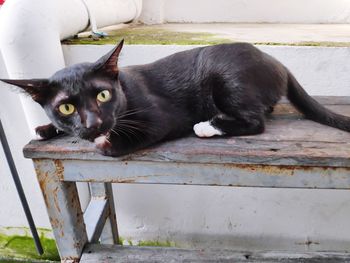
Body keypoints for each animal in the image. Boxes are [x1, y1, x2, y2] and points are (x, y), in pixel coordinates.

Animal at [0, 40, 350, 157]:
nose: (94, 123)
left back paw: (208, 126)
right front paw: (45, 129)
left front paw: (104, 142)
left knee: (256, 122)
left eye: (103, 94)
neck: (124, 90)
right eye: (66, 107)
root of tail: (278, 63)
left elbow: (123, 143)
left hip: (224, 75)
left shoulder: (160, 117)